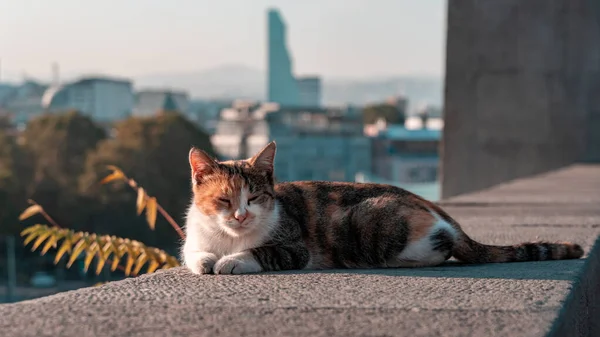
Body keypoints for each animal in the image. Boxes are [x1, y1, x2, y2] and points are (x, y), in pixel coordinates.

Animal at [180, 140, 584, 274]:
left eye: (255, 198)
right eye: (224, 200)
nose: (241, 215)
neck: (230, 237)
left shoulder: (294, 246)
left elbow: (264, 251)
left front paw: (232, 261)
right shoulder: (194, 237)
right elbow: (194, 254)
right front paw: (207, 261)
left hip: (369, 220)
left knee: (438, 248)